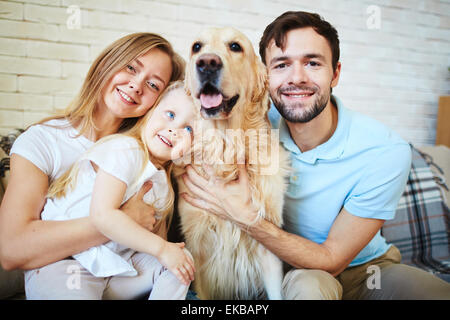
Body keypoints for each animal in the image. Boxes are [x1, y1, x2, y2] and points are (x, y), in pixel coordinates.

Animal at [174, 27, 290, 300]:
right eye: (196, 47)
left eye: (235, 46)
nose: (207, 63)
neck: (225, 145)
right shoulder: (198, 249)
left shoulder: (268, 247)